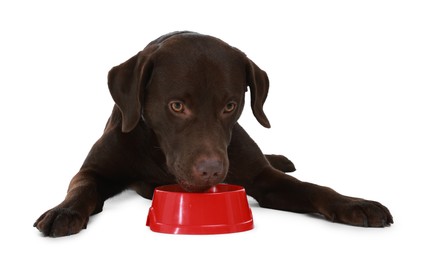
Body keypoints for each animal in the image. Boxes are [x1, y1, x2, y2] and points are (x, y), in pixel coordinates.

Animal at [35, 31, 392, 237]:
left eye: (230, 105)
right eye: (177, 106)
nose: (211, 171)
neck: (158, 153)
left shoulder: (264, 179)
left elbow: (312, 187)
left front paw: (354, 203)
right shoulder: (96, 169)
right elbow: (82, 186)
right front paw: (63, 211)